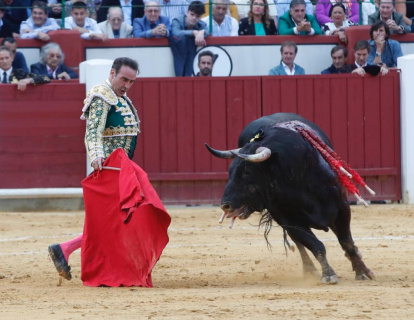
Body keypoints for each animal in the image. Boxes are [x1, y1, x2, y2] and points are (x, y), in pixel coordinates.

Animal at [206, 114, 376, 284]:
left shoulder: (342, 208)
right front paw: (328, 274)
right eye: (230, 171)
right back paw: (309, 269)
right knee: (300, 244)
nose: (225, 205)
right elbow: (316, 245)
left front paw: (362, 271)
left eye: (247, 172)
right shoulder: (289, 221)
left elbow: (346, 241)